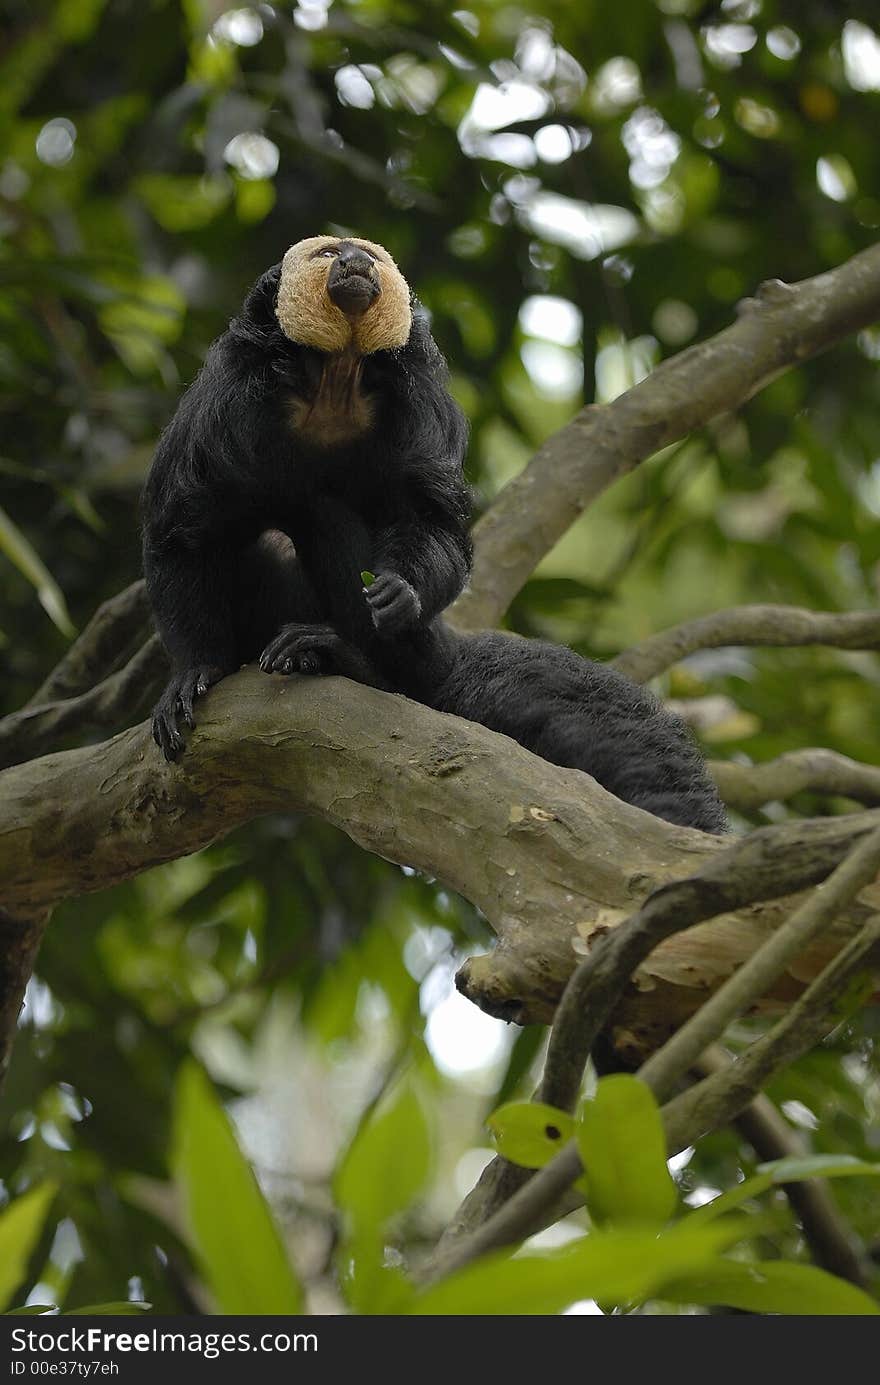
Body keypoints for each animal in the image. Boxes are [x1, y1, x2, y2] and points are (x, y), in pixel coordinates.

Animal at [142, 235, 473, 758]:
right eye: (329, 255)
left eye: (368, 257)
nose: (355, 262)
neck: (333, 380)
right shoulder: (225, 394)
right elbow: (182, 528)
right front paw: (196, 668)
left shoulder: (421, 399)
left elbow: (430, 516)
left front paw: (402, 589)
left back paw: (346, 659)